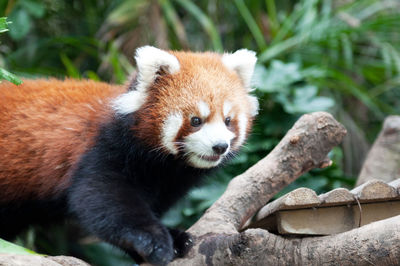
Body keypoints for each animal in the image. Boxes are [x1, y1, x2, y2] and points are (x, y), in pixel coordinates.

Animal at [0, 46, 258, 264]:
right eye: (196, 120)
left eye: (228, 121)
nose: (220, 146)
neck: (164, 165)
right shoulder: (100, 153)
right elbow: (104, 202)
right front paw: (153, 240)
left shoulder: (168, 184)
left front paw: (172, 237)